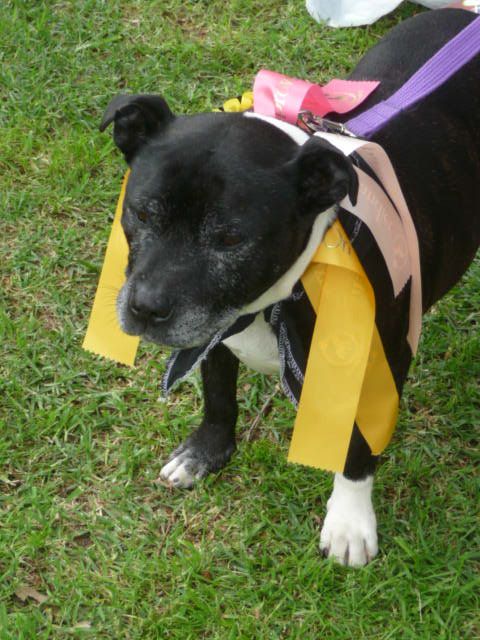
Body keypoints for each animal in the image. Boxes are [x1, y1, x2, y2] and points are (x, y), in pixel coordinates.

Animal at [98, 10, 480, 568]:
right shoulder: (214, 329)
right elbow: (218, 397)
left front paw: (348, 522)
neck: (276, 297)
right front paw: (205, 453)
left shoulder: (372, 366)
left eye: (231, 238)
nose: (145, 307)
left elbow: (356, 447)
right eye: (142, 214)